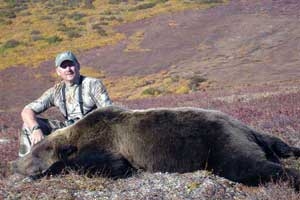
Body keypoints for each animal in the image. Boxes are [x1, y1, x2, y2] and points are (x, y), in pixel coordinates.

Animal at [9, 106, 300, 189]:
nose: (15, 164)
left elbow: (111, 166)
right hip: (250, 135)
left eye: (35, 152)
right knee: (278, 145)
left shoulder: (106, 143)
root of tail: (245, 128)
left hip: (220, 142)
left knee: (246, 166)